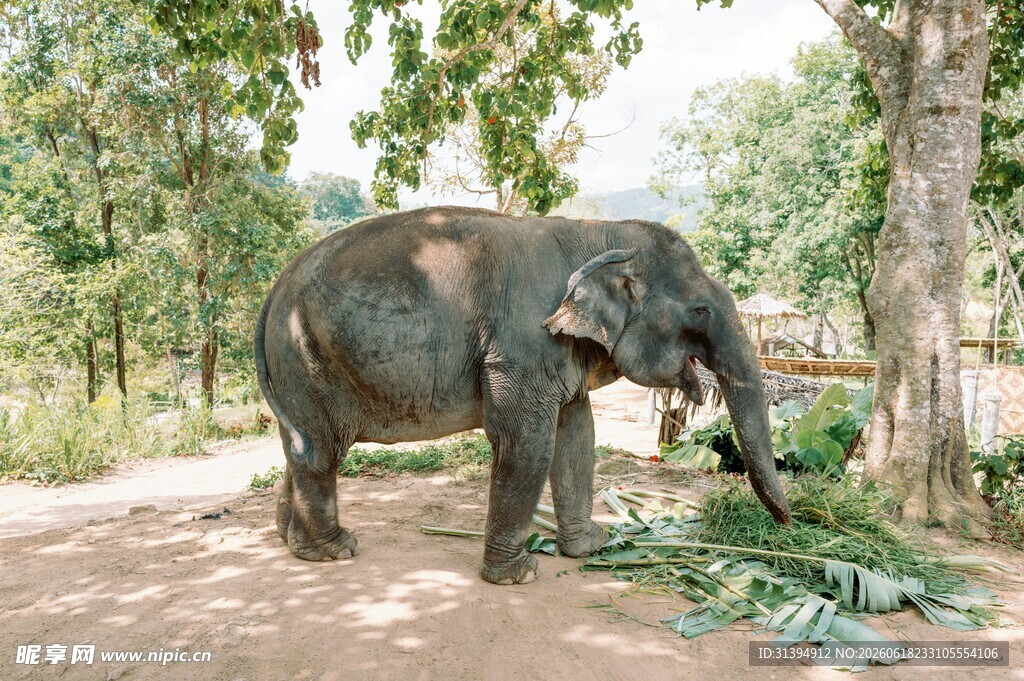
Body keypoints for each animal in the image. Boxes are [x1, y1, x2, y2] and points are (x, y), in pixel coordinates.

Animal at [254, 206, 791, 585]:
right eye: (700, 310)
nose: (787, 526)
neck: (598, 235)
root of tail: (276, 285)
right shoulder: (526, 343)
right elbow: (528, 442)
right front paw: (518, 576)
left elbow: (578, 435)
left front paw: (593, 545)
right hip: (307, 357)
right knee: (320, 451)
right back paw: (335, 549)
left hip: (298, 367)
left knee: (299, 447)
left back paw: (293, 541)